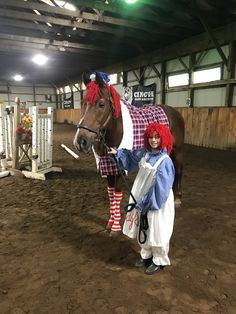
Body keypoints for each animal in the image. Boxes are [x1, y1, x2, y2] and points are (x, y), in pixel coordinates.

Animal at [73, 72, 184, 234]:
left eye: (101, 104)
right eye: (83, 103)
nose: (80, 141)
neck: (115, 129)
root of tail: (174, 112)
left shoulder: (119, 168)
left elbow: (117, 194)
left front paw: (116, 227)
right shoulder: (108, 167)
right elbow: (111, 194)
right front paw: (110, 221)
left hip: (178, 150)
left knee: (179, 172)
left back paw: (177, 199)